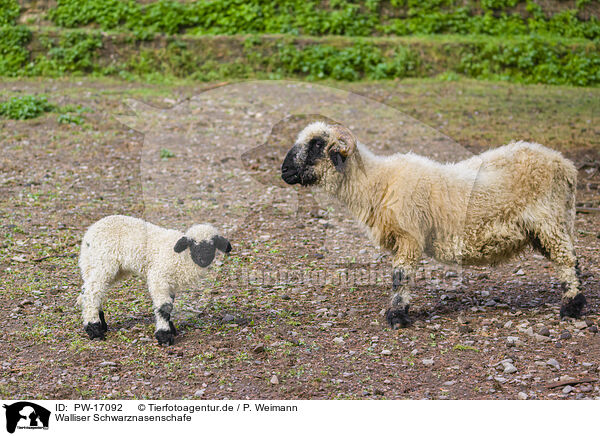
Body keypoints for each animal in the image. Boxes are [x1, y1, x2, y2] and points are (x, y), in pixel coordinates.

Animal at [282, 121, 584, 328]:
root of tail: (566, 165)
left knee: (567, 260)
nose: (284, 171)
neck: (377, 182)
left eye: (317, 144)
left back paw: (571, 307)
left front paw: (397, 317)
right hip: (546, 227)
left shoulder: (409, 237)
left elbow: (400, 277)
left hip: (549, 219)